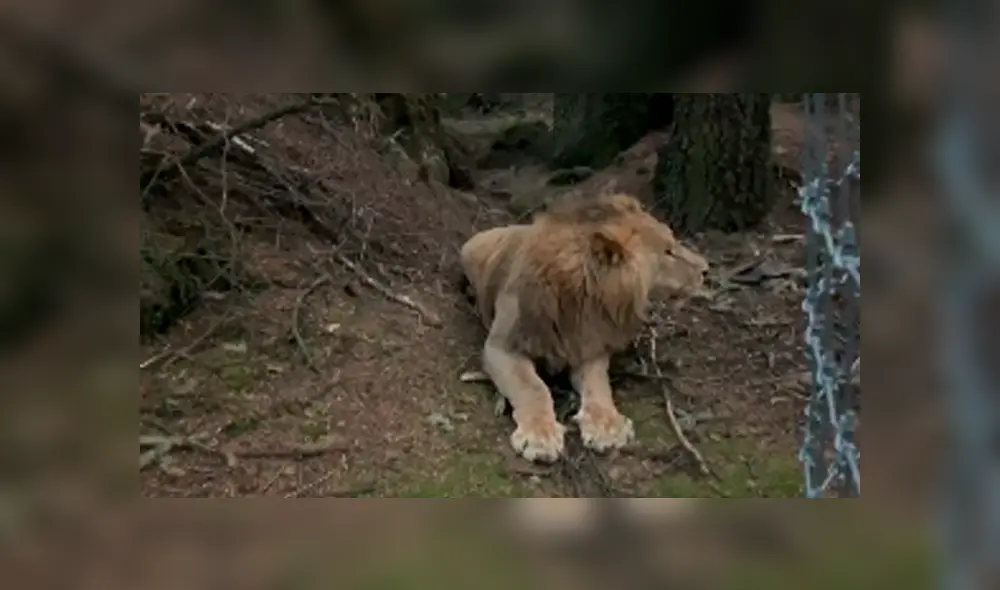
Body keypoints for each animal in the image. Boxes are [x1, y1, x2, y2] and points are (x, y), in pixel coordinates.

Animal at [459, 193, 709, 463]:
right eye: (668, 252)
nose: (707, 269)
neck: (582, 298)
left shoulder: (588, 347)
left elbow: (598, 386)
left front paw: (607, 426)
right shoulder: (502, 347)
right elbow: (534, 387)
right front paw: (540, 435)